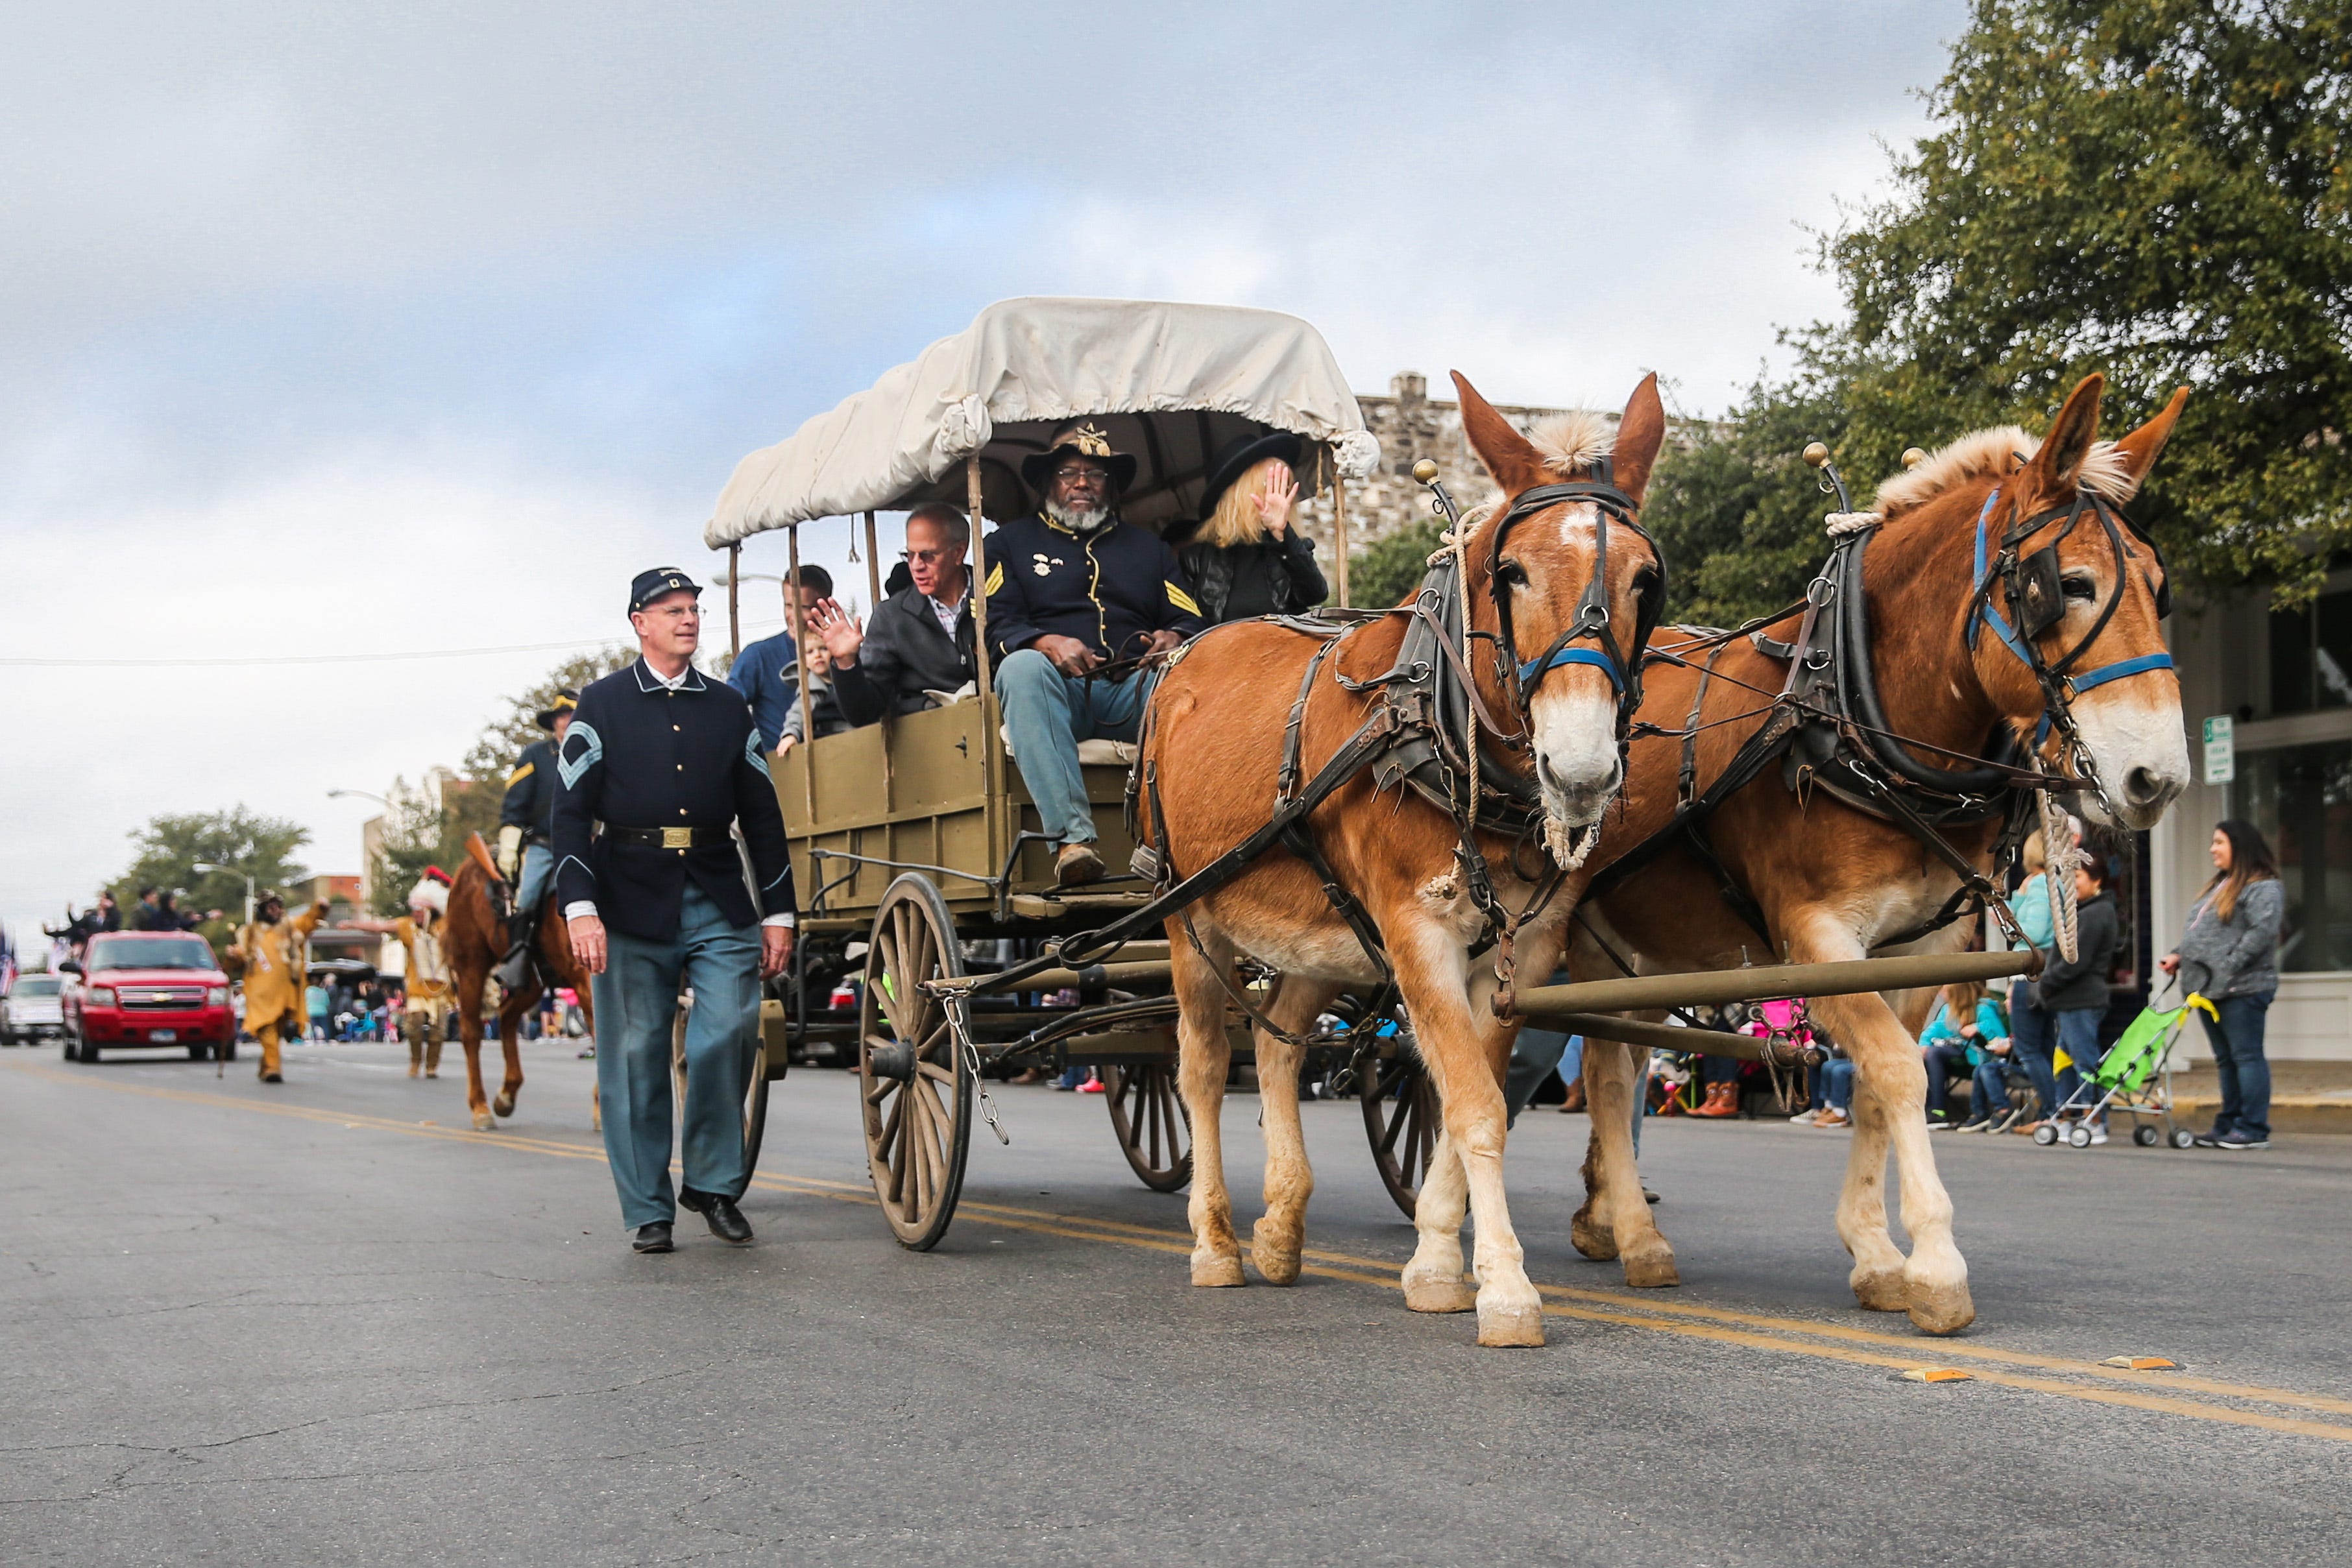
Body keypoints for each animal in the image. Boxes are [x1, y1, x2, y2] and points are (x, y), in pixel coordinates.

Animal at [442, 841, 592, 1133]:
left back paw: (506, 1095)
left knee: (507, 1016)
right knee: (471, 1031)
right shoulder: (587, 981)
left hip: (532, 981)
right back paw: (481, 1108)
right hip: (471, 966)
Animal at [1143, 371, 1675, 1354]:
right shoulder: (1416, 928)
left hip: (1319, 927)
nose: (1580, 770)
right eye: (1512, 573)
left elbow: (1472, 1093)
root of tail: (1187, 656)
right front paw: (1504, 1285)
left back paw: (1280, 1224)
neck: (1440, 721)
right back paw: (1216, 1242)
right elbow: (1472, 1105)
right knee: (1198, 1066)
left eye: (1644, 578)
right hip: (1190, 916)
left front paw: (1434, 1260)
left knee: (1277, 1045)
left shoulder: (1520, 951)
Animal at [1562, 374, 2183, 1335]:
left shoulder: (1922, 948)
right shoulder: (1817, 936)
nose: (2159, 775)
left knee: (1619, 1064)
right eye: (2068, 585)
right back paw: (1632, 1233)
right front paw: (1934, 1260)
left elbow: (1875, 1085)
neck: (1858, 711)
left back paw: (1603, 1216)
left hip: (1635, 949)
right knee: (1594, 1068)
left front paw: (1876, 1252)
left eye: (2159, 585)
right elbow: (1898, 1072)